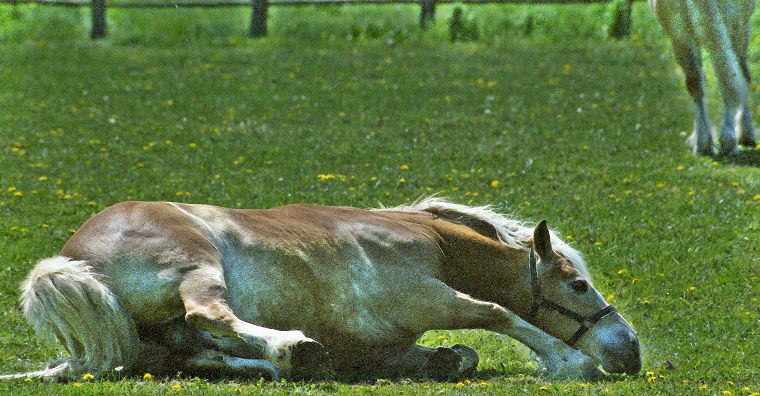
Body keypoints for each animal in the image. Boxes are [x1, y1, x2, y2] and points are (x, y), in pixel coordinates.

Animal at [1, 198, 640, 380]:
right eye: (578, 285)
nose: (630, 350)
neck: (430, 240)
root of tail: (71, 259)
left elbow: (463, 351)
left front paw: (442, 359)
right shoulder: (424, 296)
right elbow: (496, 314)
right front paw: (566, 362)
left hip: (154, 339)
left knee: (185, 355)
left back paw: (292, 359)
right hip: (195, 264)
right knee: (209, 317)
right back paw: (294, 349)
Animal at [652, 1, 756, 156]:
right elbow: (741, 75)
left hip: (679, 33)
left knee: (697, 82)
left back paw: (703, 144)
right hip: (737, 24)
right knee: (733, 77)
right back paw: (730, 141)